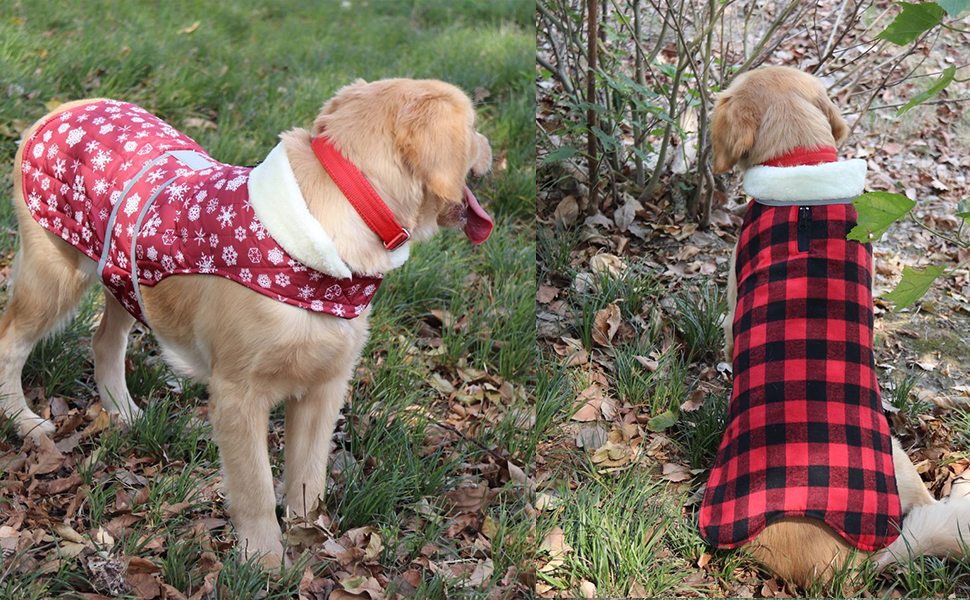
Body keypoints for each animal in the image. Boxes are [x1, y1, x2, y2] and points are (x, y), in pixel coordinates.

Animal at [3, 78, 492, 564]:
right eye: (473, 126)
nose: (490, 148)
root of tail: (64, 106)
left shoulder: (324, 388)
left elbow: (308, 480)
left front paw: (310, 542)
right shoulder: (238, 394)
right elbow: (255, 486)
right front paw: (264, 560)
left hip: (124, 275)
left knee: (104, 342)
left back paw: (123, 411)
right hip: (53, 276)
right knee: (10, 343)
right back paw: (23, 421)